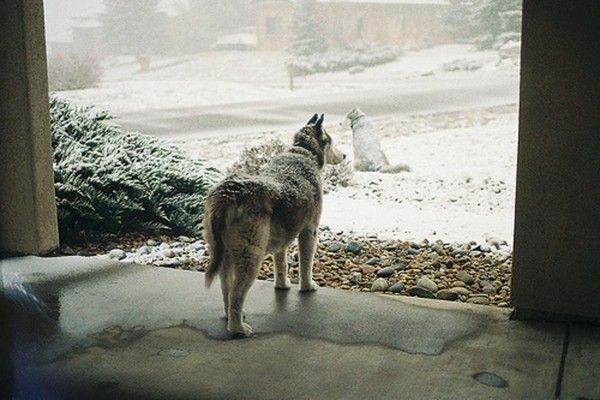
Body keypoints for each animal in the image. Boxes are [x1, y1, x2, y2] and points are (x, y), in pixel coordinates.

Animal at [203, 113, 344, 338]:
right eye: (331, 143)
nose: (345, 155)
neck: (304, 152)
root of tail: (228, 195)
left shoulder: (282, 235)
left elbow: (281, 263)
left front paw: (282, 285)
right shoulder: (310, 230)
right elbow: (306, 263)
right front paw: (307, 286)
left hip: (224, 251)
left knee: (226, 286)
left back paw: (230, 317)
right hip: (250, 255)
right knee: (236, 293)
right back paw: (238, 329)